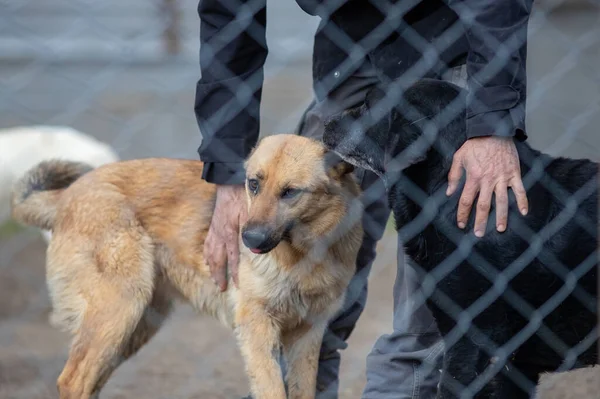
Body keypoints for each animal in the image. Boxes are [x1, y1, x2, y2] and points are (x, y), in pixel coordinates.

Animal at [10, 135, 366, 399]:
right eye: (253, 184)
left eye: (290, 192)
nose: (247, 238)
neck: (306, 253)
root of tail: (66, 197)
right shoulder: (257, 328)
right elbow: (272, 390)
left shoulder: (307, 335)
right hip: (119, 310)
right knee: (73, 381)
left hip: (136, 325)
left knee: (88, 381)